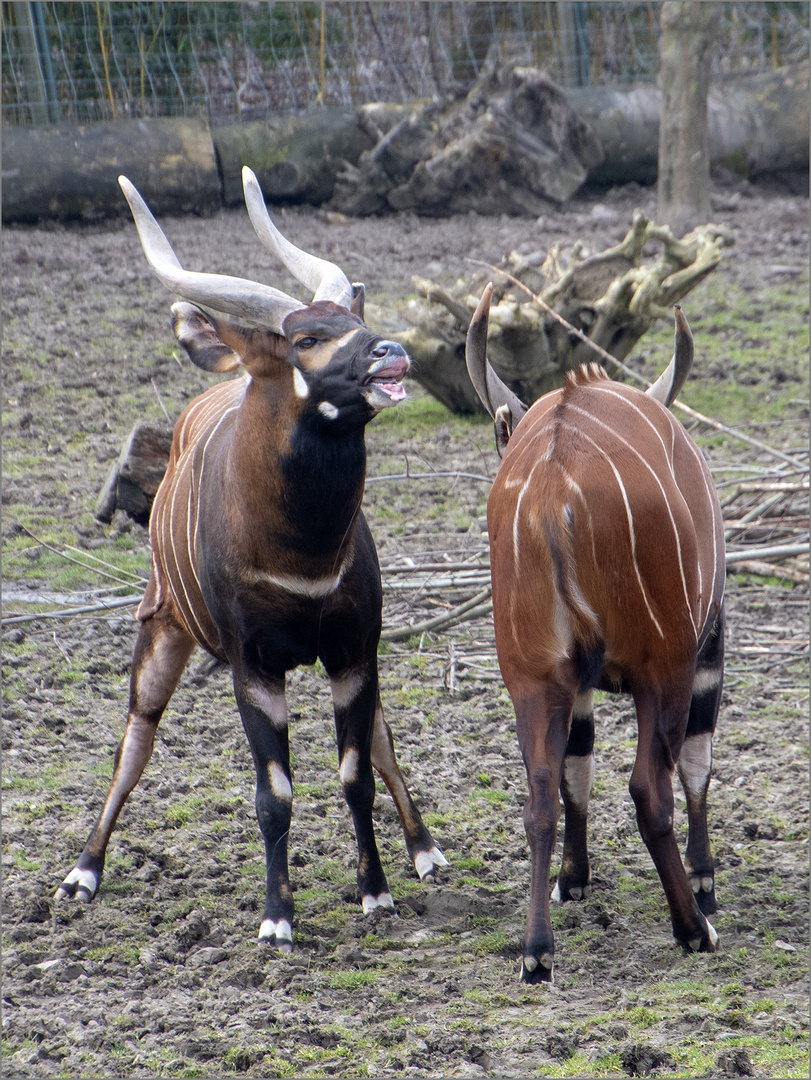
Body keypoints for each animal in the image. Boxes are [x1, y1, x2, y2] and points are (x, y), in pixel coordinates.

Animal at [55, 168, 451, 954]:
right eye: (307, 337)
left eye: (353, 316)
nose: (391, 351)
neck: (301, 556)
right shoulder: (254, 667)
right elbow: (273, 795)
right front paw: (276, 921)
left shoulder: (353, 651)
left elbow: (357, 772)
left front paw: (377, 893)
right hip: (160, 630)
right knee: (133, 742)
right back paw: (83, 873)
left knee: (382, 743)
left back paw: (425, 851)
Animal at [466, 287, 725, 980]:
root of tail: (555, 487)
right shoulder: (704, 647)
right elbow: (696, 762)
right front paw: (706, 880)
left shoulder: (571, 679)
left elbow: (572, 770)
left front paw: (575, 879)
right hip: (664, 667)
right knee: (650, 789)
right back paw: (693, 928)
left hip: (533, 676)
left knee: (539, 796)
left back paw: (536, 950)